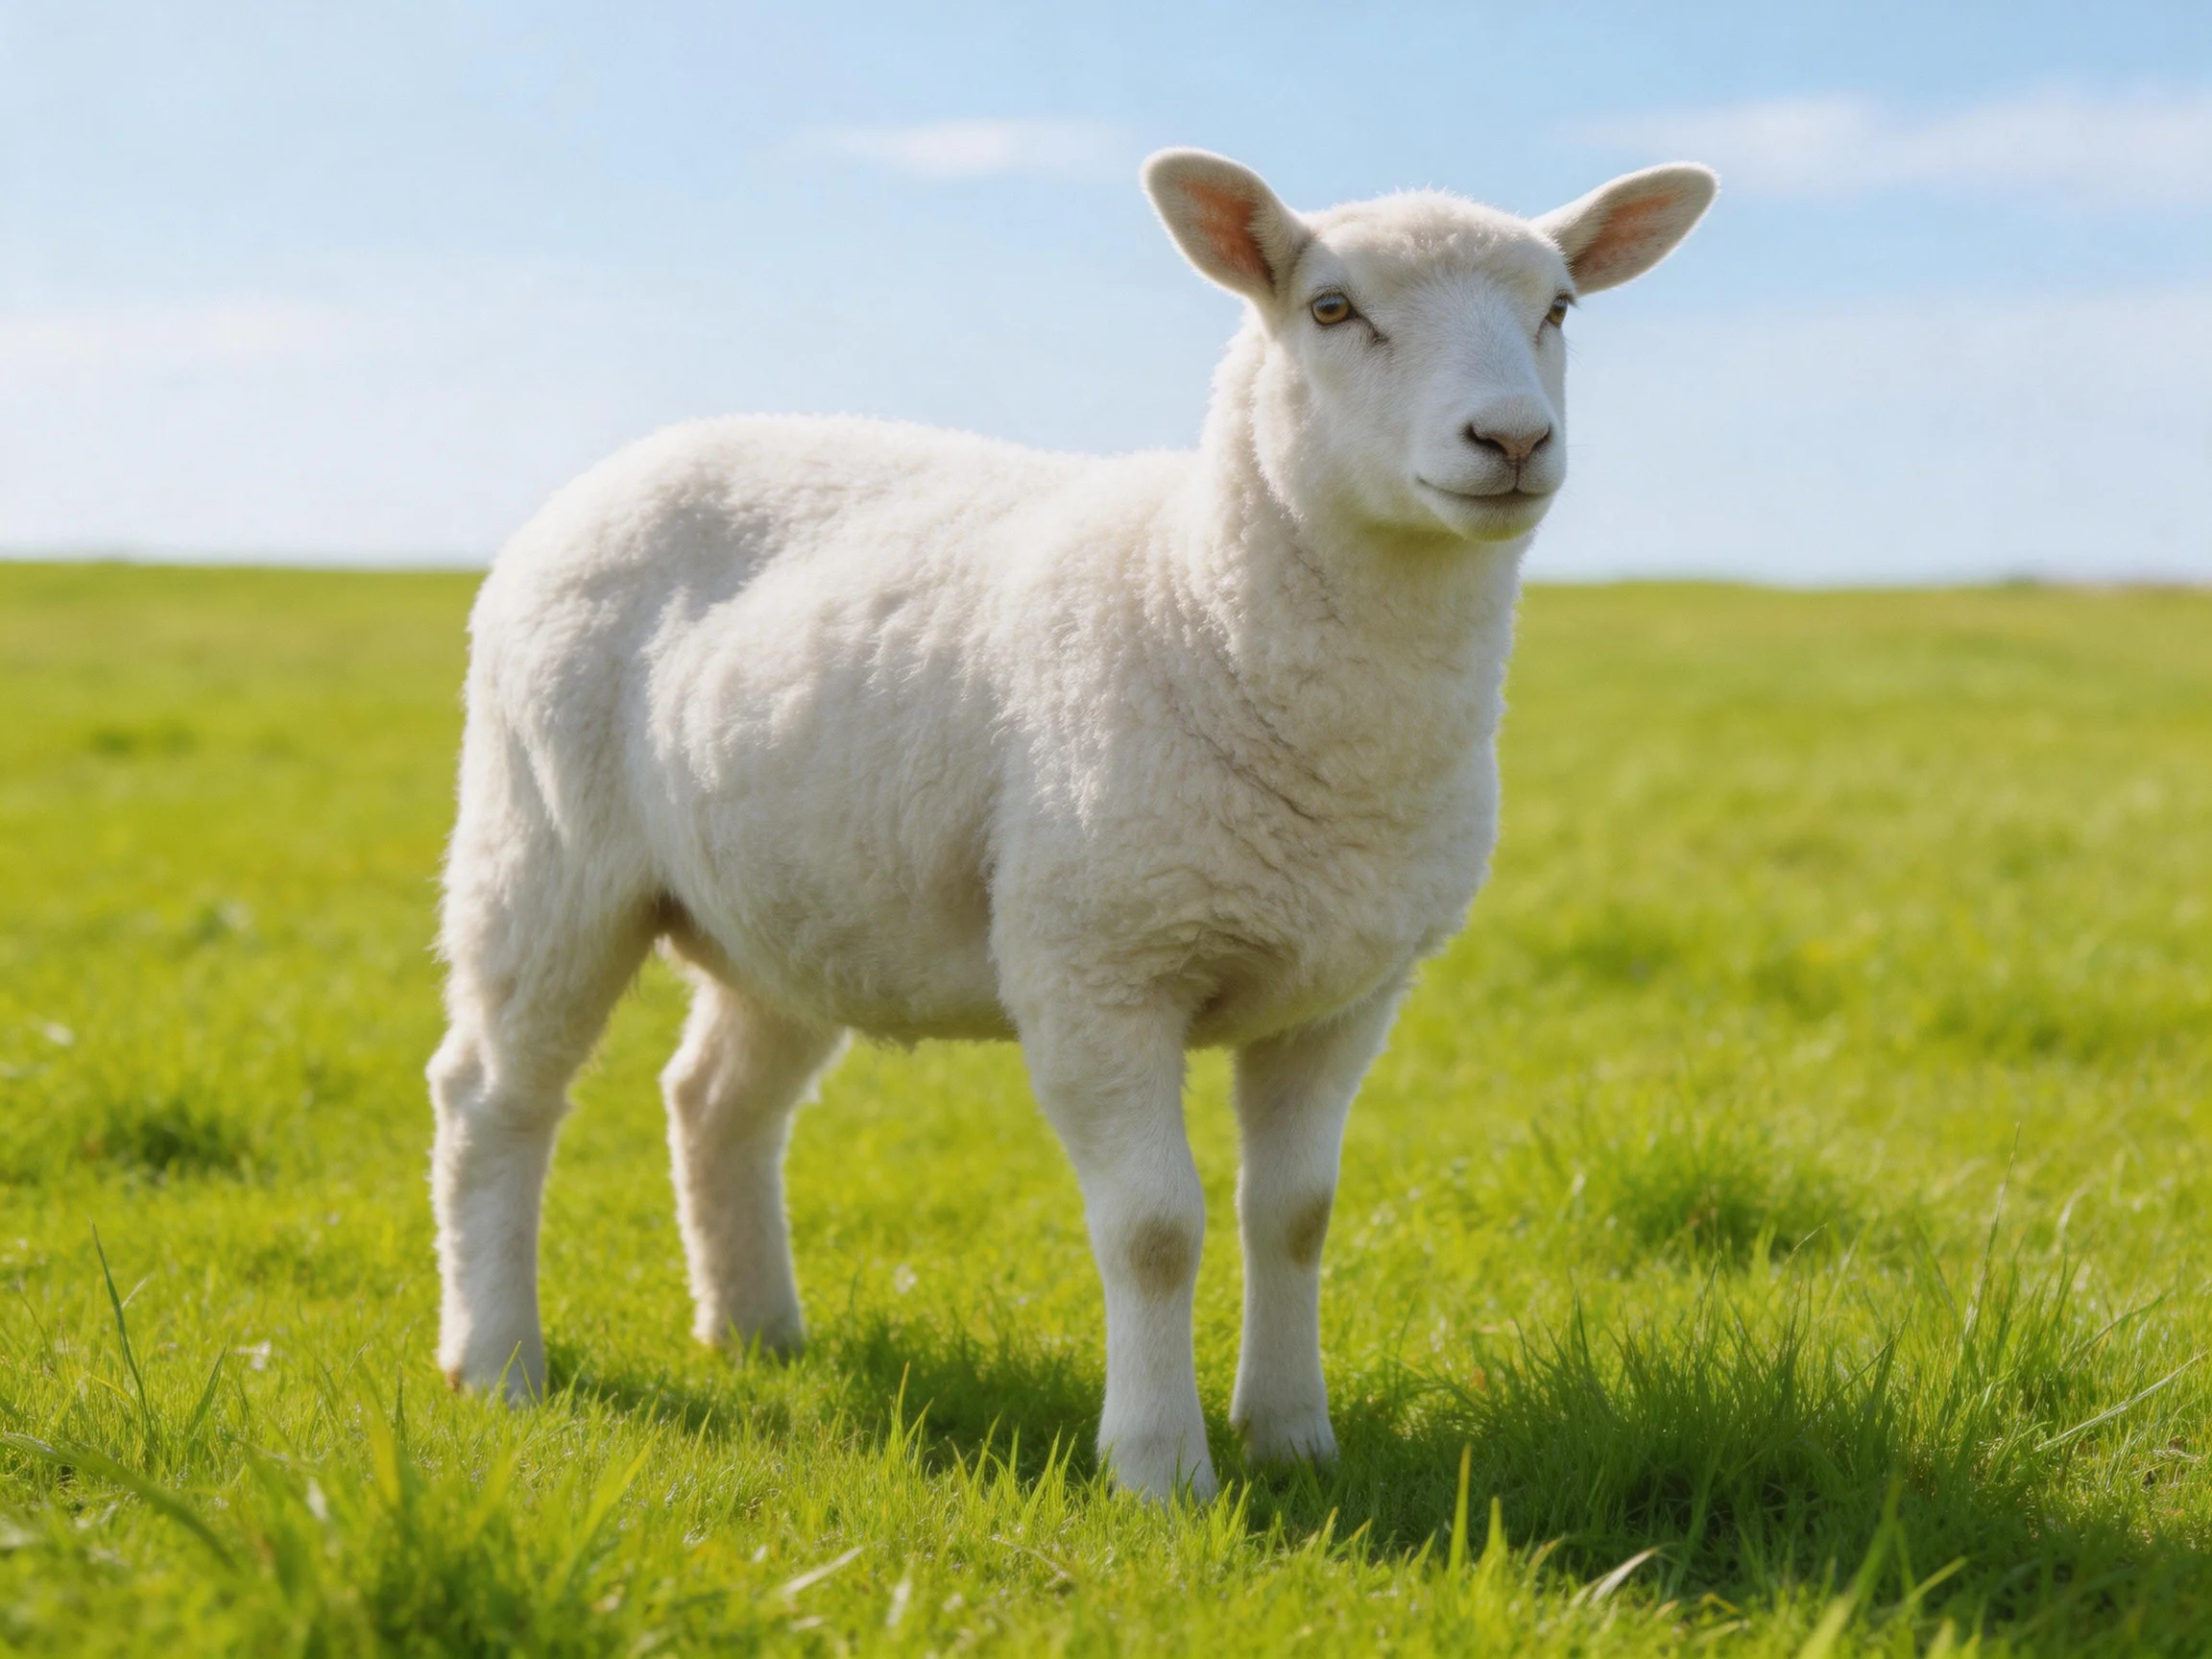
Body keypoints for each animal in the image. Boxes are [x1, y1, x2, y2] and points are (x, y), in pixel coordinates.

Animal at [428, 148, 1716, 1501]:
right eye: (1330, 309)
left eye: (1559, 307)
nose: (1513, 437)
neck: (1199, 596)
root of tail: (626, 464)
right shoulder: (1097, 966)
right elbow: (1154, 1229)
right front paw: (1160, 1469)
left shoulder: (1346, 993)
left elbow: (1294, 1216)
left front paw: (1294, 1438)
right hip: (544, 848)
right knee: (491, 1096)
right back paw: (497, 1359)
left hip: (798, 902)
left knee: (715, 1098)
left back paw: (756, 1331)